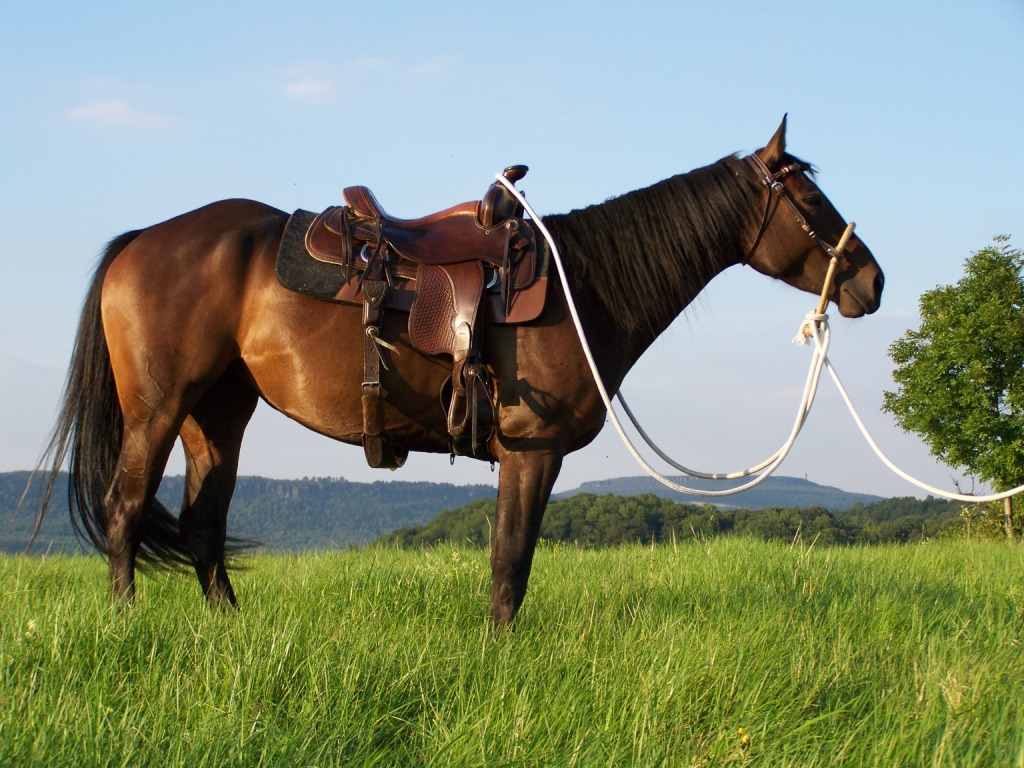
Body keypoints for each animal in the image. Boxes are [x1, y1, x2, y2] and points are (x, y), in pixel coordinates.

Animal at [35, 117, 883, 626]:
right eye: (810, 199)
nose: (871, 282)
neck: (583, 287)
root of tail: (146, 237)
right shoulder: (532, 452)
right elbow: (511, 564)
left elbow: (511, 563)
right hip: (158, 409)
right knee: (124, 510)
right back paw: (128, 626)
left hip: (218, 413)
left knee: (204, 527)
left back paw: (229, 631)